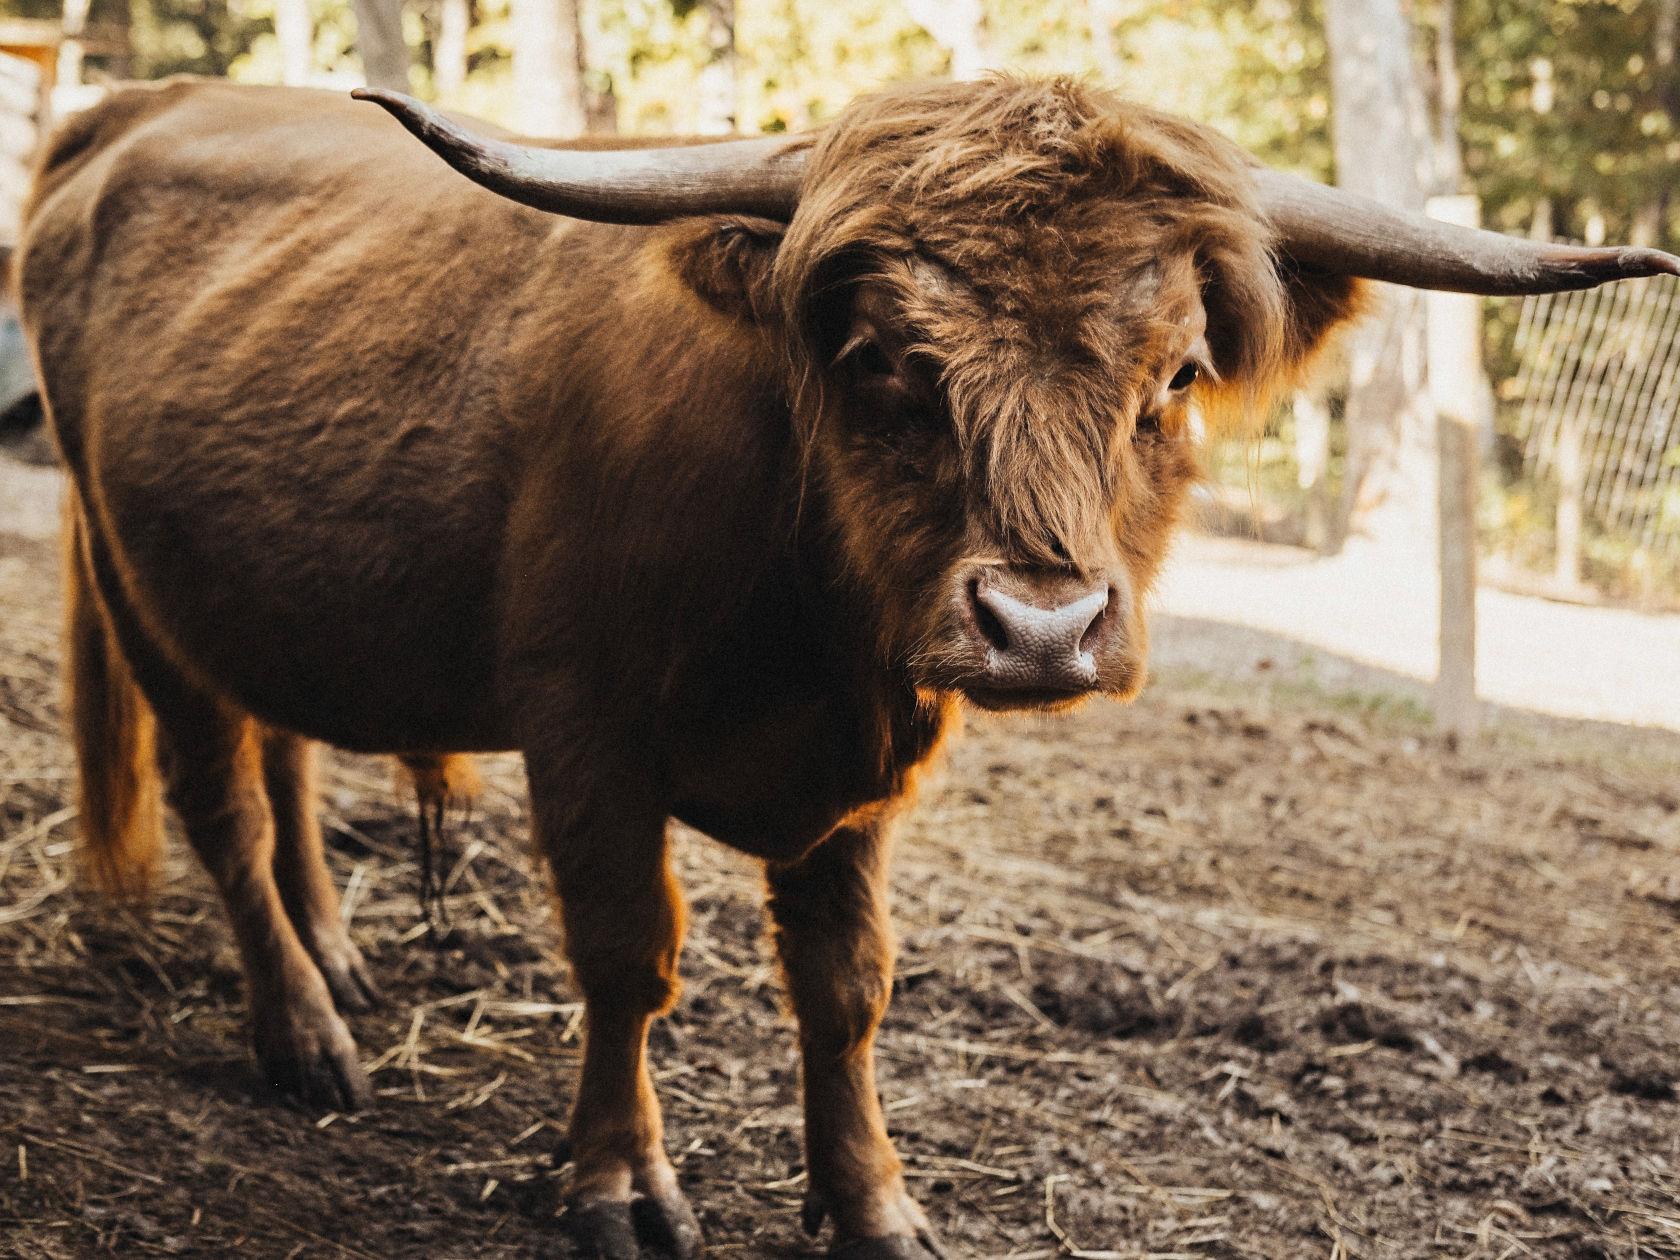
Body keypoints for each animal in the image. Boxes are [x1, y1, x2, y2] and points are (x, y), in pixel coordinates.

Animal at [16, 73, 1680, 1256]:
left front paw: (874, 1202)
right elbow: (628, 956)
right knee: (225, 804)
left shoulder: (869, 776)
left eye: (1176, 373)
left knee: (284, 756)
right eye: (886, 359)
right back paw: (304, 1035)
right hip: (138, 586)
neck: (806, 610)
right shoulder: (585, 730)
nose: (1041, 628)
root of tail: (135, 109)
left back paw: (338, 965)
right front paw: (616, 1184)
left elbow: (848, 987)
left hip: (251, 591)